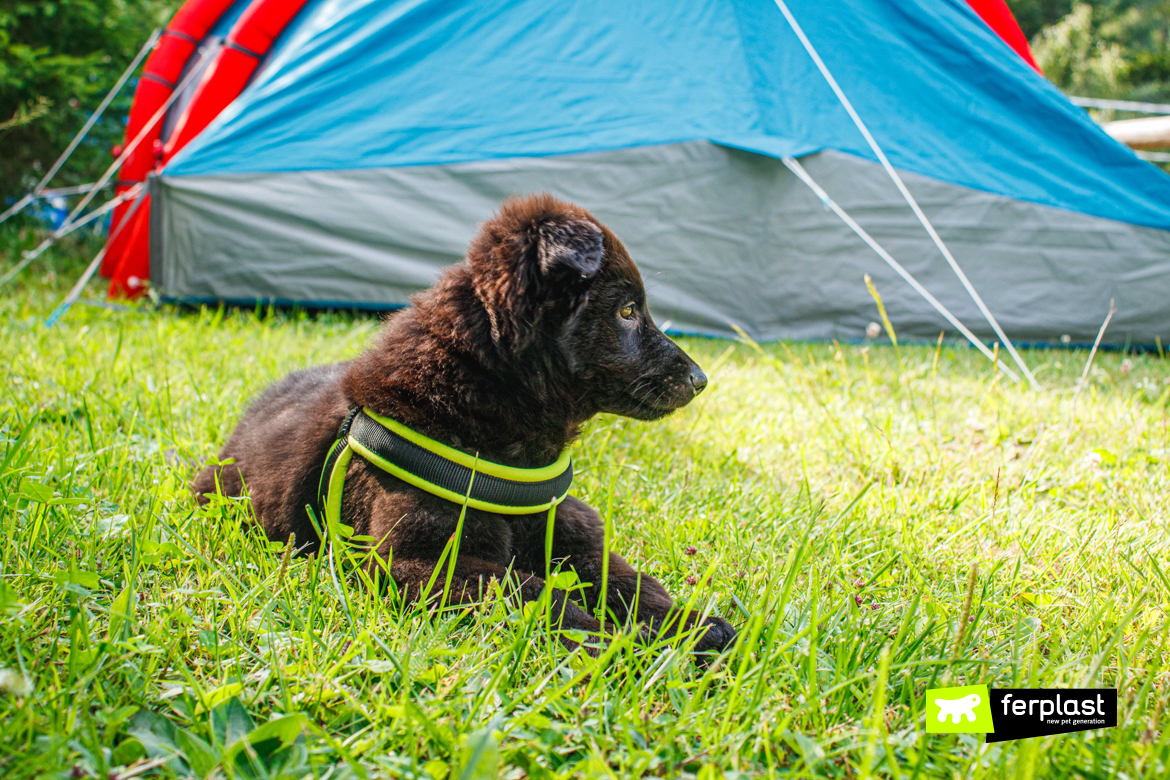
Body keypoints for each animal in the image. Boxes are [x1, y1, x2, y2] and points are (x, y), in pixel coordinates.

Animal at [195, 191, 734, 654]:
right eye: (627, 310)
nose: (701, 379)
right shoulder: (413, 560)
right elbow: (534, 593)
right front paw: (616, 645)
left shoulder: (568, 530)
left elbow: (626, 580)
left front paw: (689, 627)